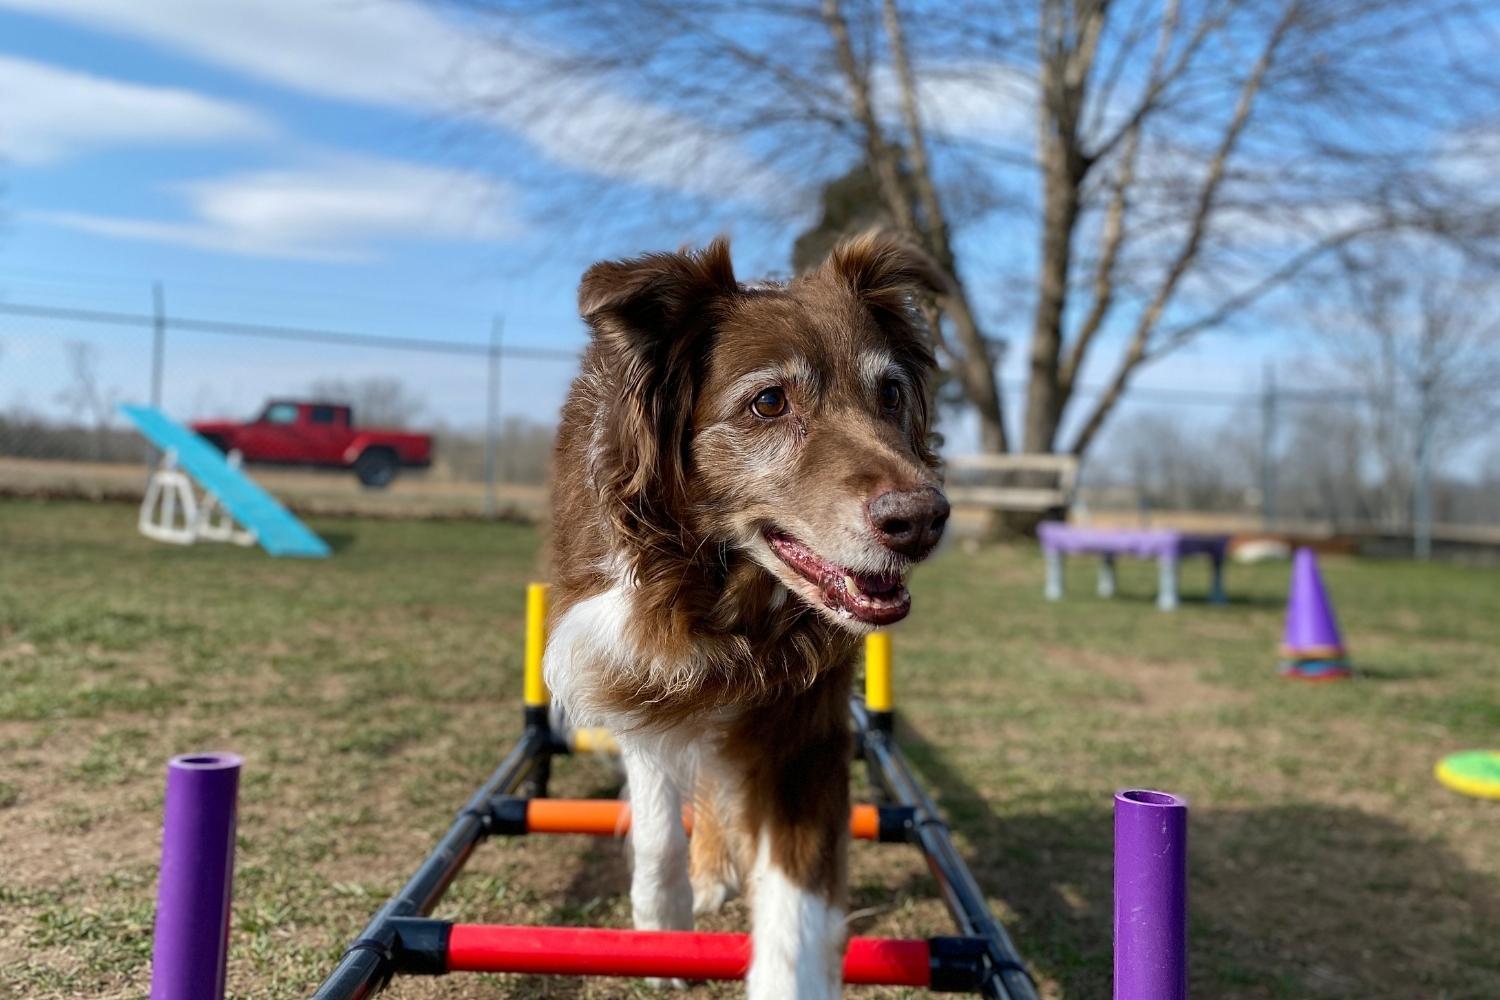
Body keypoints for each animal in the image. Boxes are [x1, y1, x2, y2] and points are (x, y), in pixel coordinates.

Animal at [546, 230, 948, 995]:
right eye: (768, 402)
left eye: (890, 392)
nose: (922, 521)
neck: (725, 591)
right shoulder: (636, 666)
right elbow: (656, 819)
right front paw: (663, 924)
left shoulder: (805, 724)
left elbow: (797, 912)